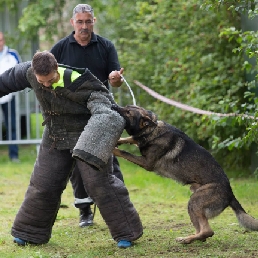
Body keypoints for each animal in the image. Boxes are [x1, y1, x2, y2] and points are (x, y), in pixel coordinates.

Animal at [111, 104, 258, 244]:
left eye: (128, 112)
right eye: (126, 107)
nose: (114, 106)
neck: (152, 129)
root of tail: (230, 194)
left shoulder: (146, 163)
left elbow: (125, 152)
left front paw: (114, 149)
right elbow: (131, 138)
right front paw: (119, 140)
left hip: (195, 202)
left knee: (208, 231)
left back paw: (186, 239)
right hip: (193, 206)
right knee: (202, 231)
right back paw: (191, 238)